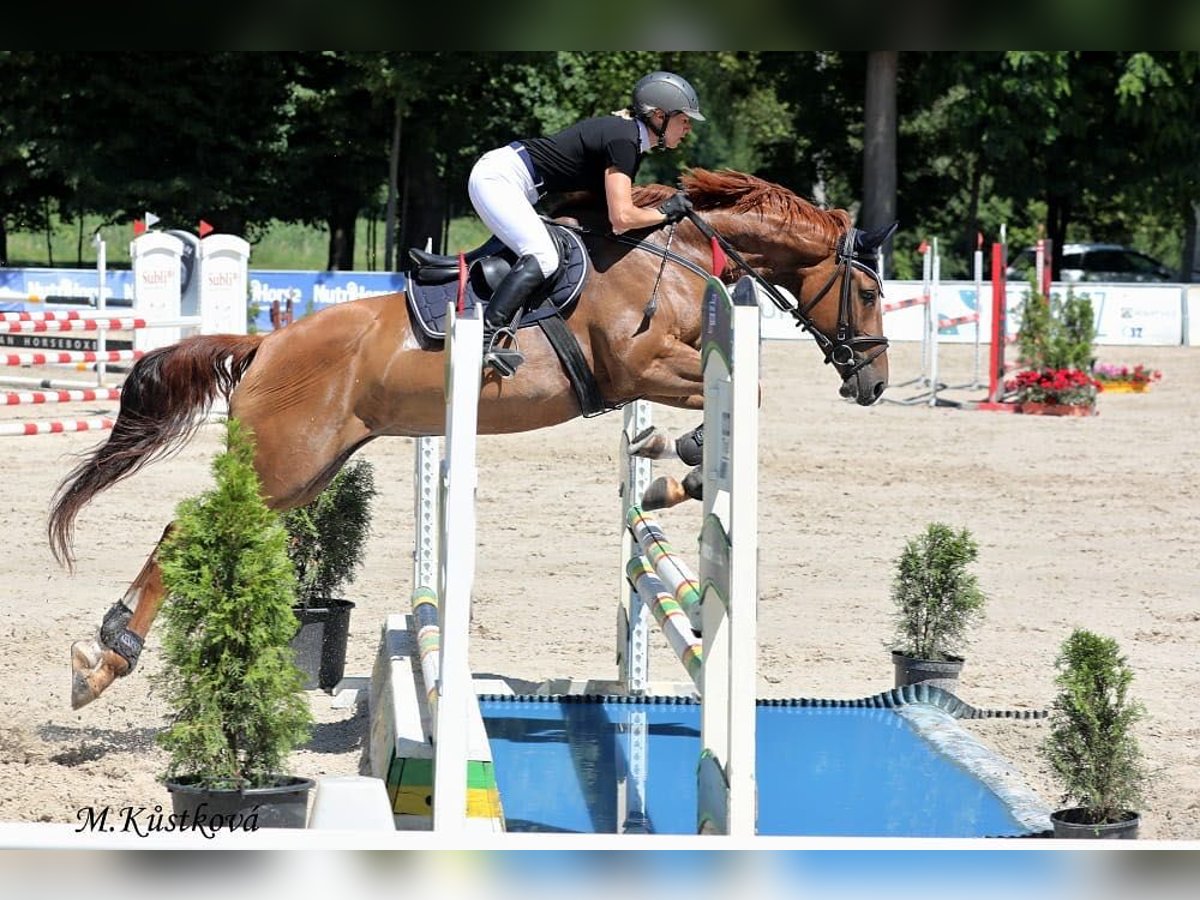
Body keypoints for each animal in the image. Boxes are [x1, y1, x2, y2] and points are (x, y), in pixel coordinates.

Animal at [49, 165, 892, 710]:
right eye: (869, 290)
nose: (875, 384)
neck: (670, 253)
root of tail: (266, 344)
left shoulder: (655, 372)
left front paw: (659, 467)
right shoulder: (640, 364)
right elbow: (744, 393)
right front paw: (670, 465)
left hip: (307, 470)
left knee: (198, 531)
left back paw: (110, 644)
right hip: (285, 465)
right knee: (182, 530)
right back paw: (105, 661)